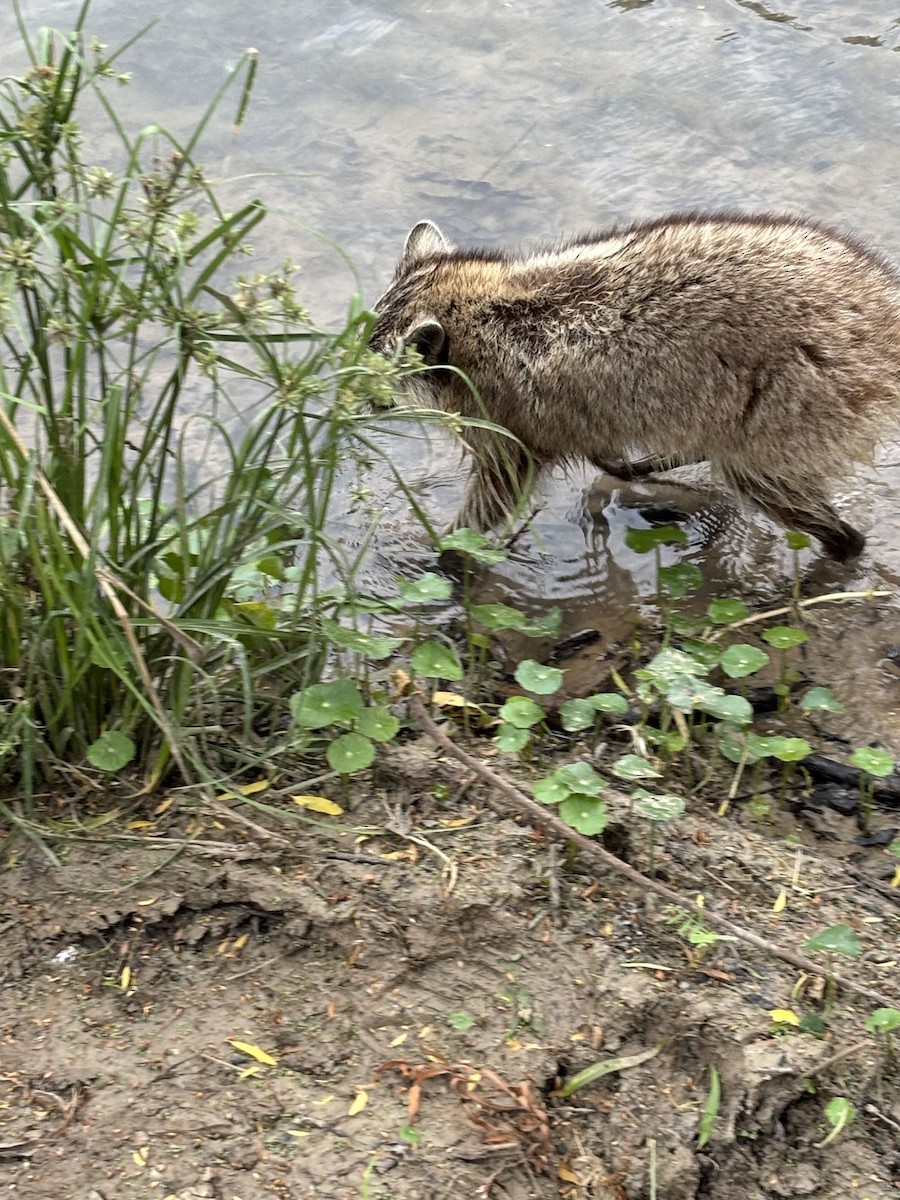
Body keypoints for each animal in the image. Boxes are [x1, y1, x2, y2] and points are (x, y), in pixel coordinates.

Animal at [369, 213, 900, 560]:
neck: (476, 310)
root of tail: (885, 317)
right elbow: (603, 455)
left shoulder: (503, 417)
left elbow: (498, 492)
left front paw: (443, 549)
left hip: (794, 404)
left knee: (767, 482)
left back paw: (841, 544)